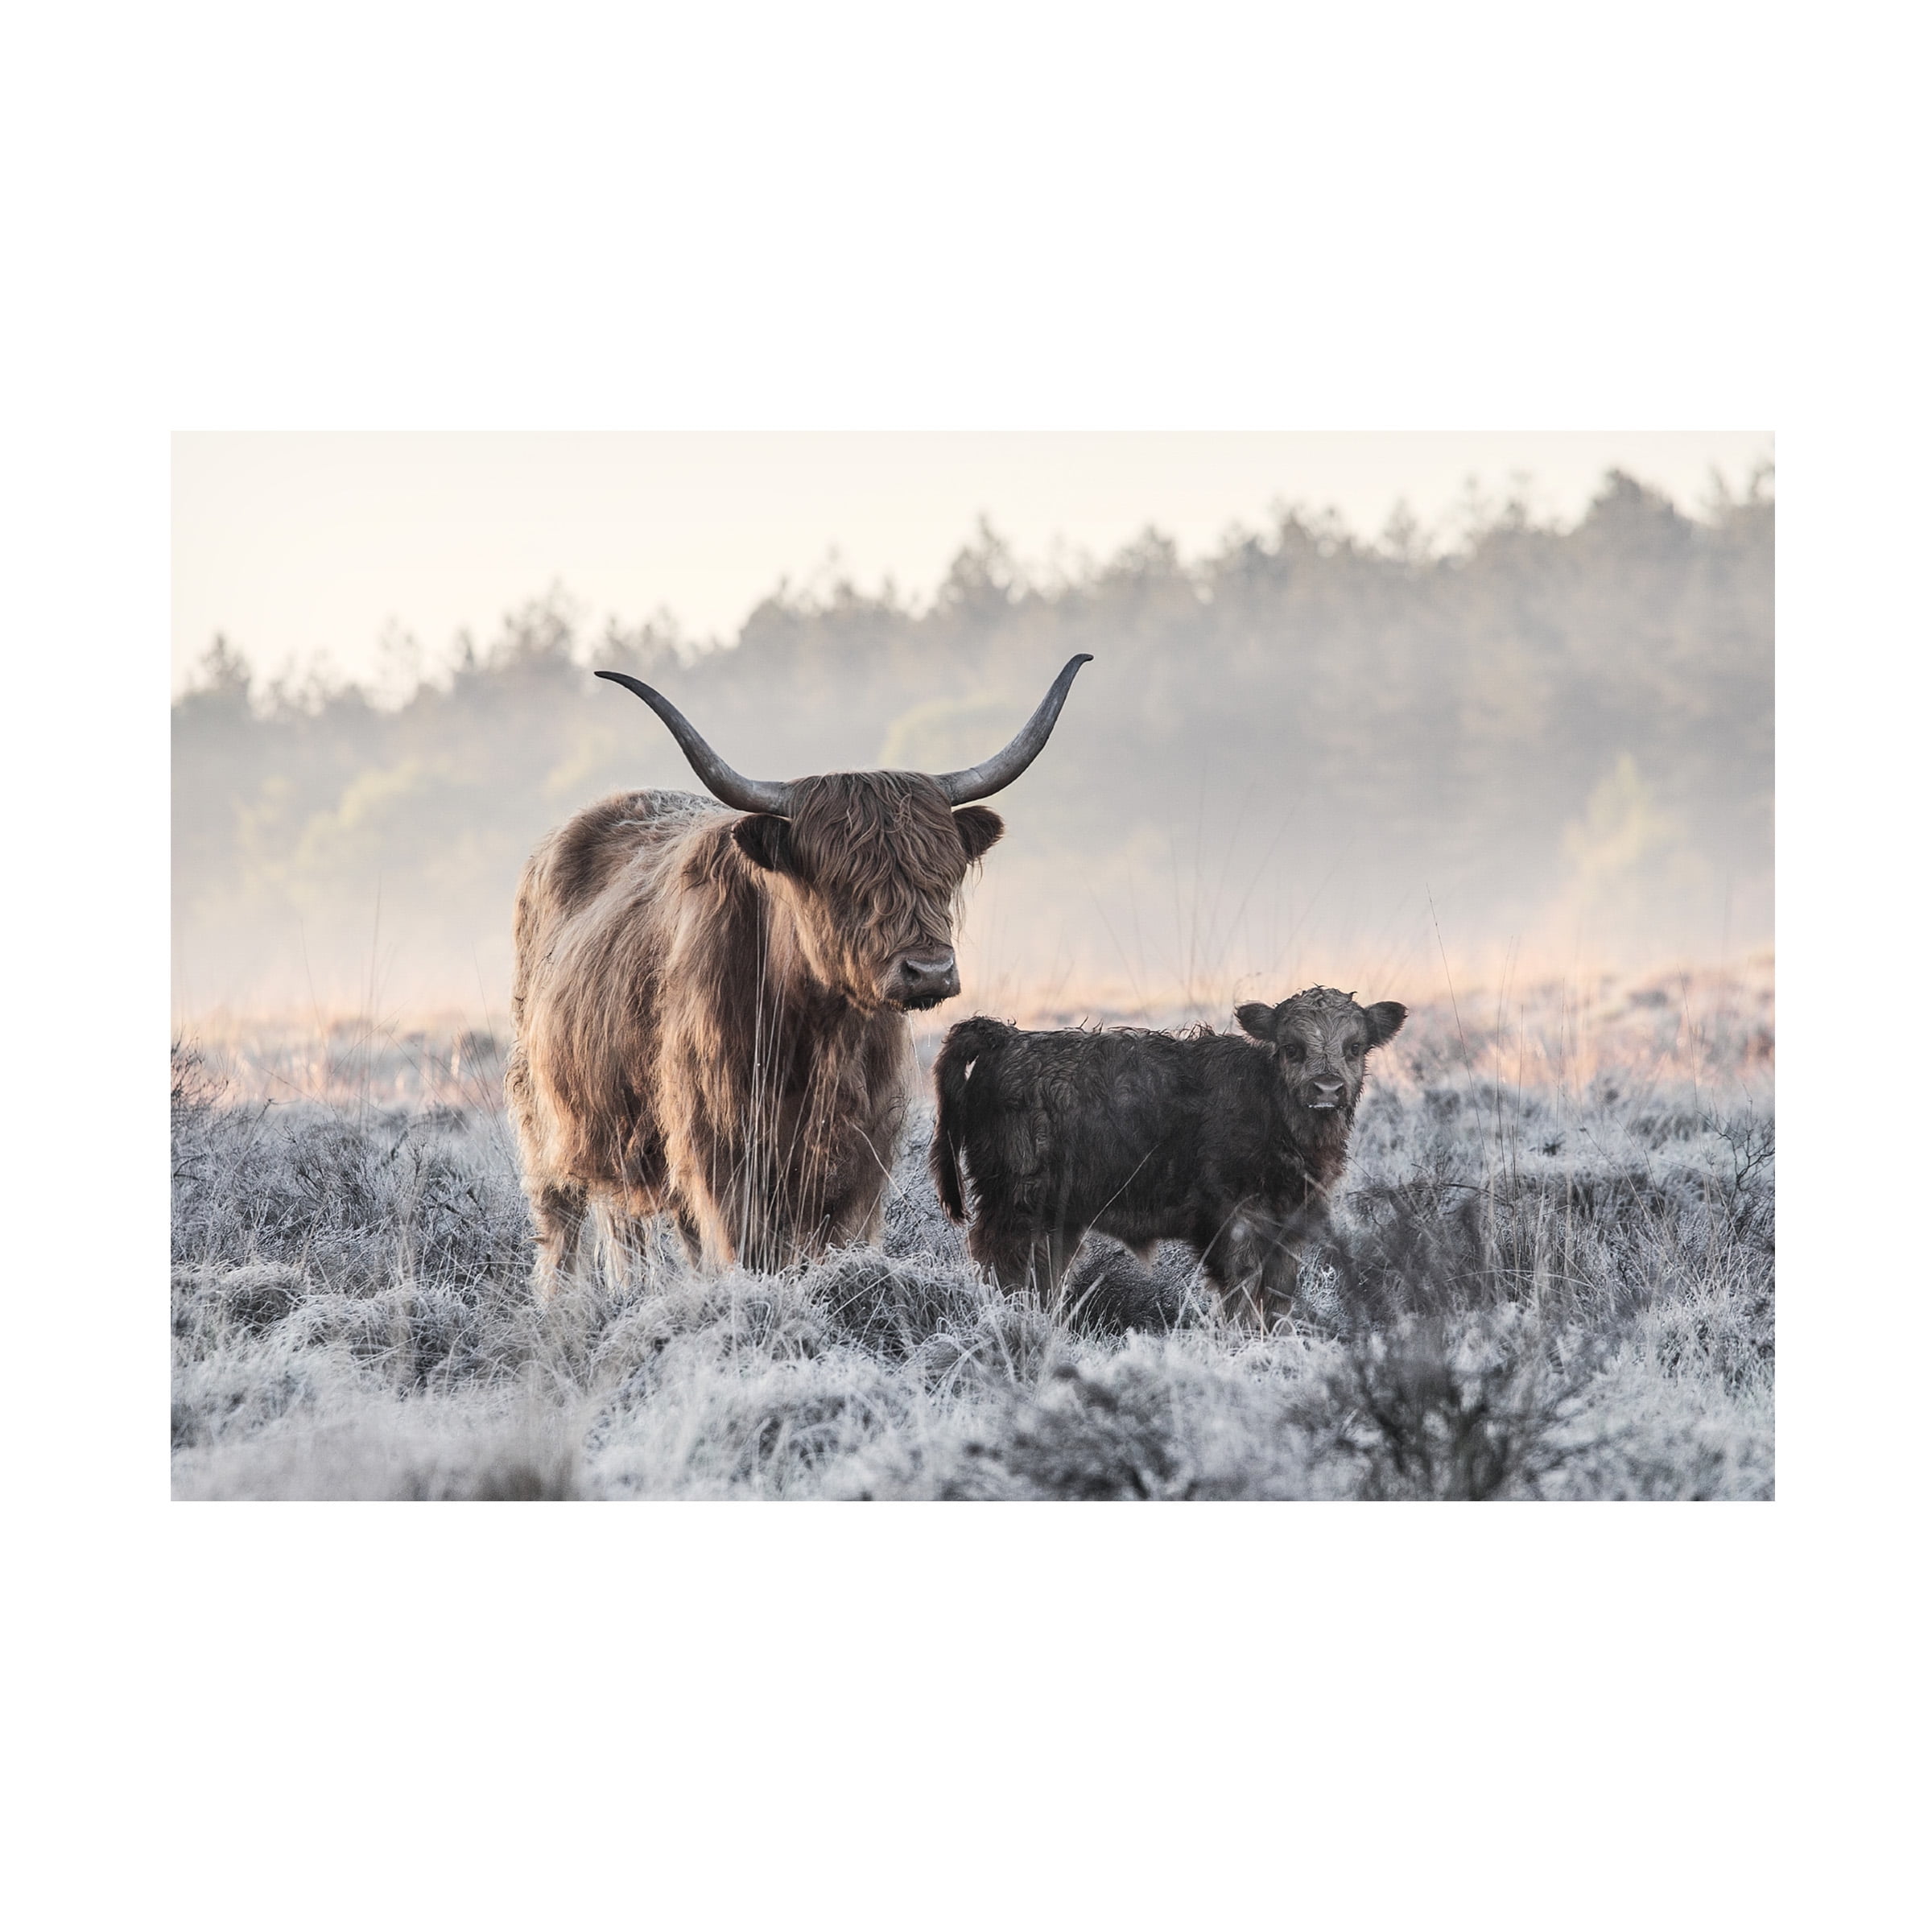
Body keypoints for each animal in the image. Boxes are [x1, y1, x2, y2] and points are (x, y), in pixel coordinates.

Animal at [506, 655, 1092, 1298]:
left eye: (942, 874)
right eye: (843, 882)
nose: (929, 971)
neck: (818, 1033)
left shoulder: (861, 1158)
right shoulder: (722, 1151)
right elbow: (748, 1251)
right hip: (546, 1118)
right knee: (562, 1225)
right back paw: (563, 1306)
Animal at [929, 986, 1407, 1326]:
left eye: (1355, 1047)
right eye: (1292, 1048)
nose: (1327, 1088)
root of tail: (1007, 1038)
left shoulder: (1289, 1228)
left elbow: (1277, 1302)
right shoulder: (1234, 1223)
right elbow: (1243, 1297)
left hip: (1057, 1220)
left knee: (1044, 1278)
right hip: (1014, 1204)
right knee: (1004, 1269)